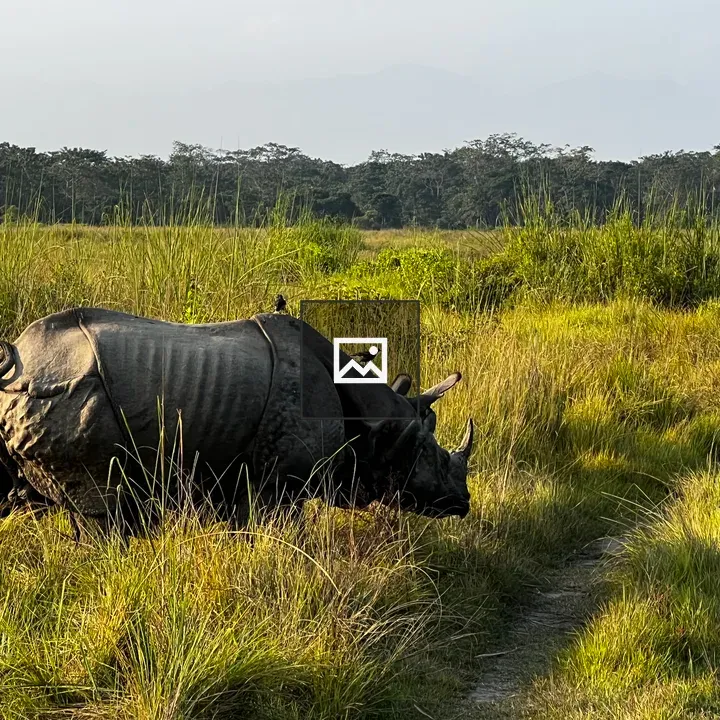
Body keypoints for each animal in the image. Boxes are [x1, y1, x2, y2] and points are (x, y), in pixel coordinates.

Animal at [0, 308, 473, 526]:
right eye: (425, 455)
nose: (462, 503)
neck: (376, 420)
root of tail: (17, 362)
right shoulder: (281, 484)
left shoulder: (233, 476)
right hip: (69, 393)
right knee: (103, 514)